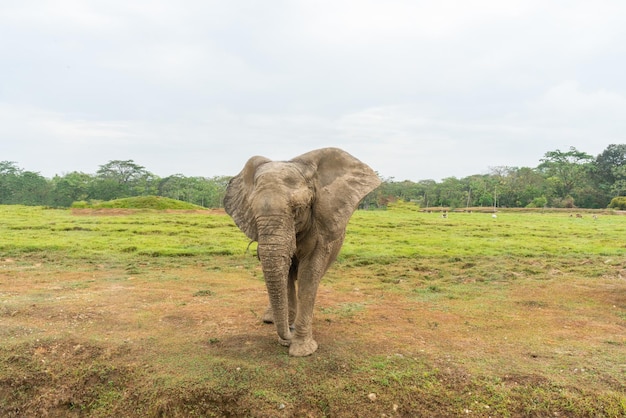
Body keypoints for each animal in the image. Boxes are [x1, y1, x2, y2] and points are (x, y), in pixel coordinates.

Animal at [224, 147, 380, 356]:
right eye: (252, 211)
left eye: (298, 209)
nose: (288, 335)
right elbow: (287, 274)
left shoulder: (321, 226)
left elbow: (309, 275)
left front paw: (301, 349)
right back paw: (270, 318)